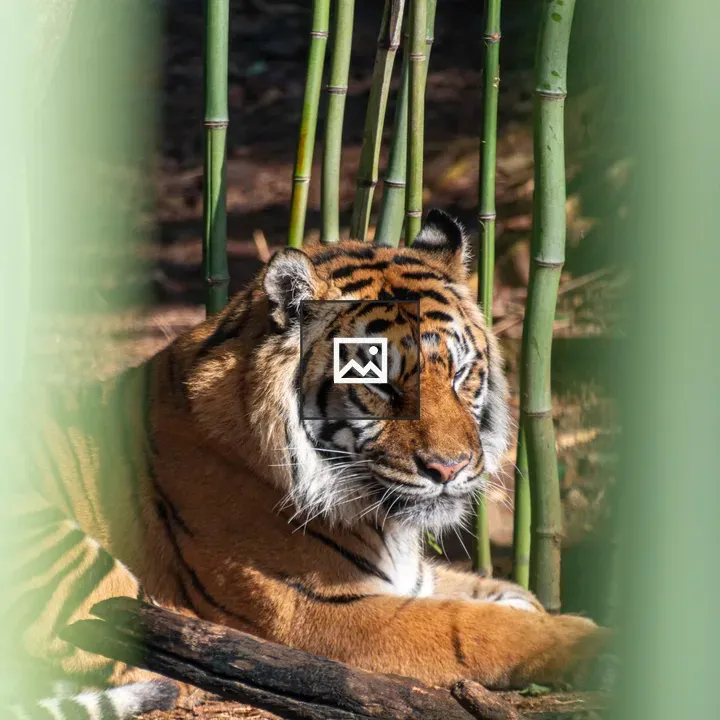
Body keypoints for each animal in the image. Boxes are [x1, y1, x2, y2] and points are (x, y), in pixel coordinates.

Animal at [3, 210, 607, 719]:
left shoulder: (411, 577)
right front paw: (591, 642)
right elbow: (477, 628)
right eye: (379, 383)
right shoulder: (317, 611)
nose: (451, 468)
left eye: (460, 373)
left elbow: (494, 593)